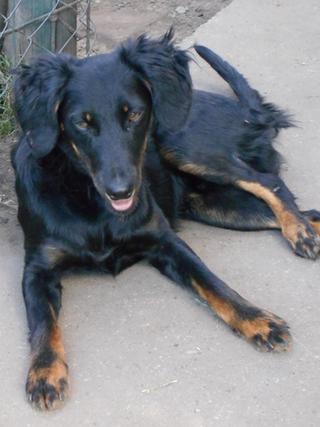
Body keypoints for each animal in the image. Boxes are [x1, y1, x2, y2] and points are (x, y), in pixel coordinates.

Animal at [11, 30, 320, 412]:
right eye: (82, 122)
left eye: (134, 114)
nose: (121, 190)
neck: (88, 199)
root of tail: (246, 114)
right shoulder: (36, 270)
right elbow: (42, 322)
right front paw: (44, 371)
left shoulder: (166, 242)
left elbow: (214, 283)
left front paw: (256, 319)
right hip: (216, 206)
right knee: (309, 211)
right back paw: (305, 229)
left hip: (182, 145)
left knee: (270, 182)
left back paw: (298, 232)